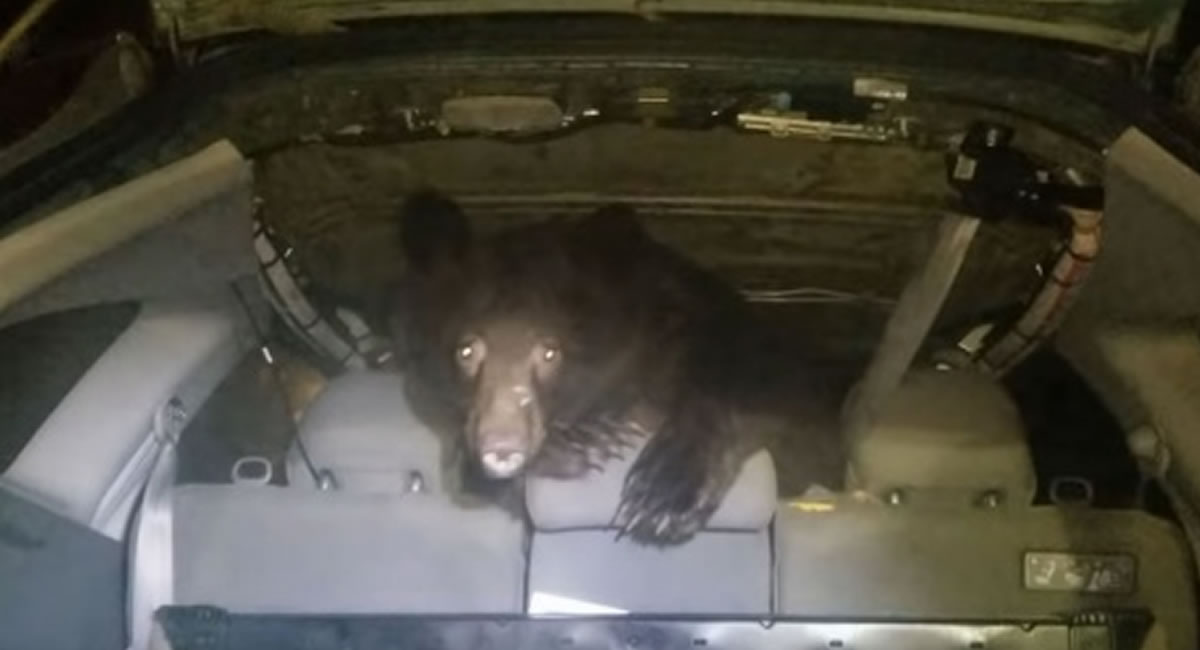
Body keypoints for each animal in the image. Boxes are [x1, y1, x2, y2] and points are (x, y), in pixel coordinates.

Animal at [390, 190, 825, 545]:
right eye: (466, 350)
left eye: (550, 351)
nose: (502, 444)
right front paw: (580, 443)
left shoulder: (695, 320)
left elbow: (760, 381)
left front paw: (663, 495)